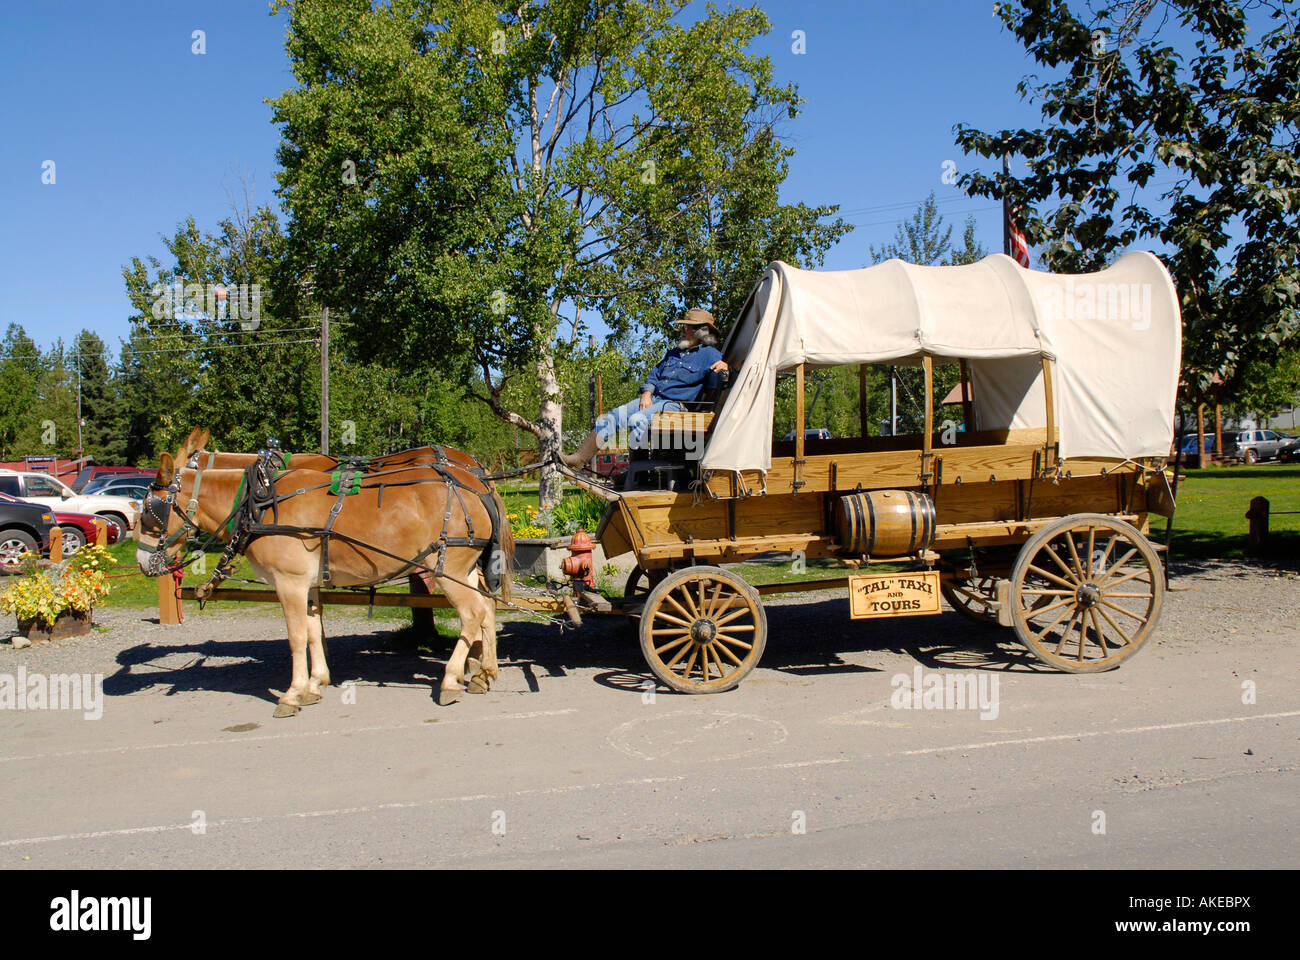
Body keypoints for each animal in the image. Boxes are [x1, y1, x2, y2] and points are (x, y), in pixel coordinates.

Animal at [137, 430, 513, 716]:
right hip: (463, 568)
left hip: (448, 568)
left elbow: (296, 636)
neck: (260, 501)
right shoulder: (309, 584)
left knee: (472, 614)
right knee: (486, 609)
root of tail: (477, 484)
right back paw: (482, 673)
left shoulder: (289, 582)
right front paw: (316, 682)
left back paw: (451, 679)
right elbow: (313, 630)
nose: (142, 562)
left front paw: (292, 694)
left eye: (148, 511)